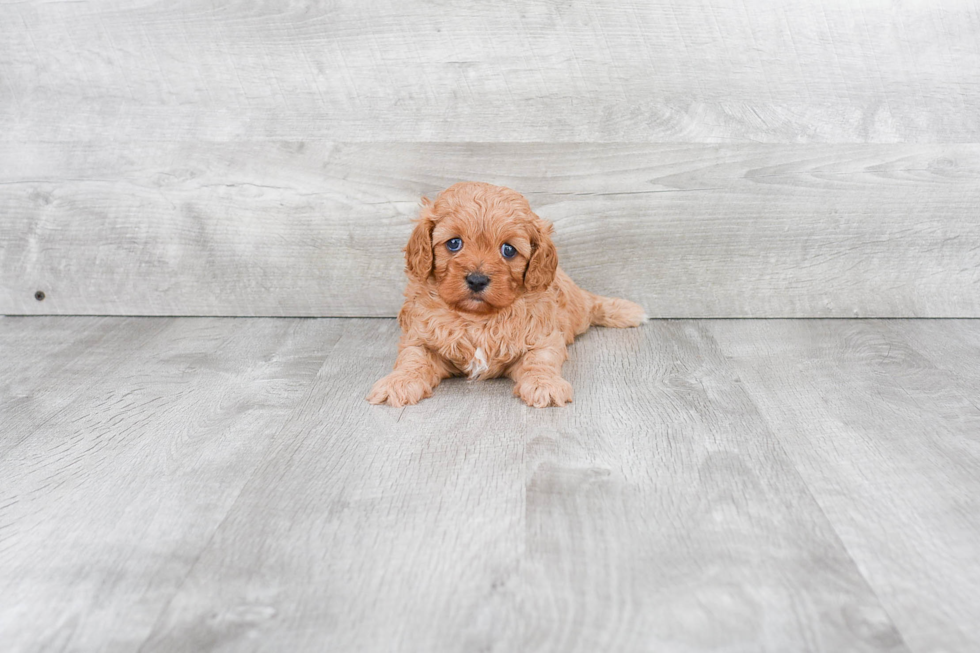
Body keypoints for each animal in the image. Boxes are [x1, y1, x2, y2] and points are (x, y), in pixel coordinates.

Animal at [366, 181, 644, 404]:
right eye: (454, 243)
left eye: (508, 250)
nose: (477, 280)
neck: (477, 318)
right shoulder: (419, 337)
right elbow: (413, 359)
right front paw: (399, 383)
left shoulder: (544, 338)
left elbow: (540, 361)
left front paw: (544, 384)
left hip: (577, 307)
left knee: (591, 302)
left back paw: (628, 310)